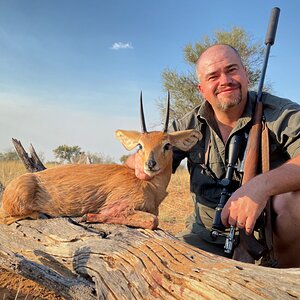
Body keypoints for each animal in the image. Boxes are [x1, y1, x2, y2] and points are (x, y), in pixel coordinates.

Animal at [0, 92, 202, 229]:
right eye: (140, 145)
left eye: (167, 145)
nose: (150, 164)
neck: (152, 188)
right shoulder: (121, 206)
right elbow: (152, 220)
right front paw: (87, 216)